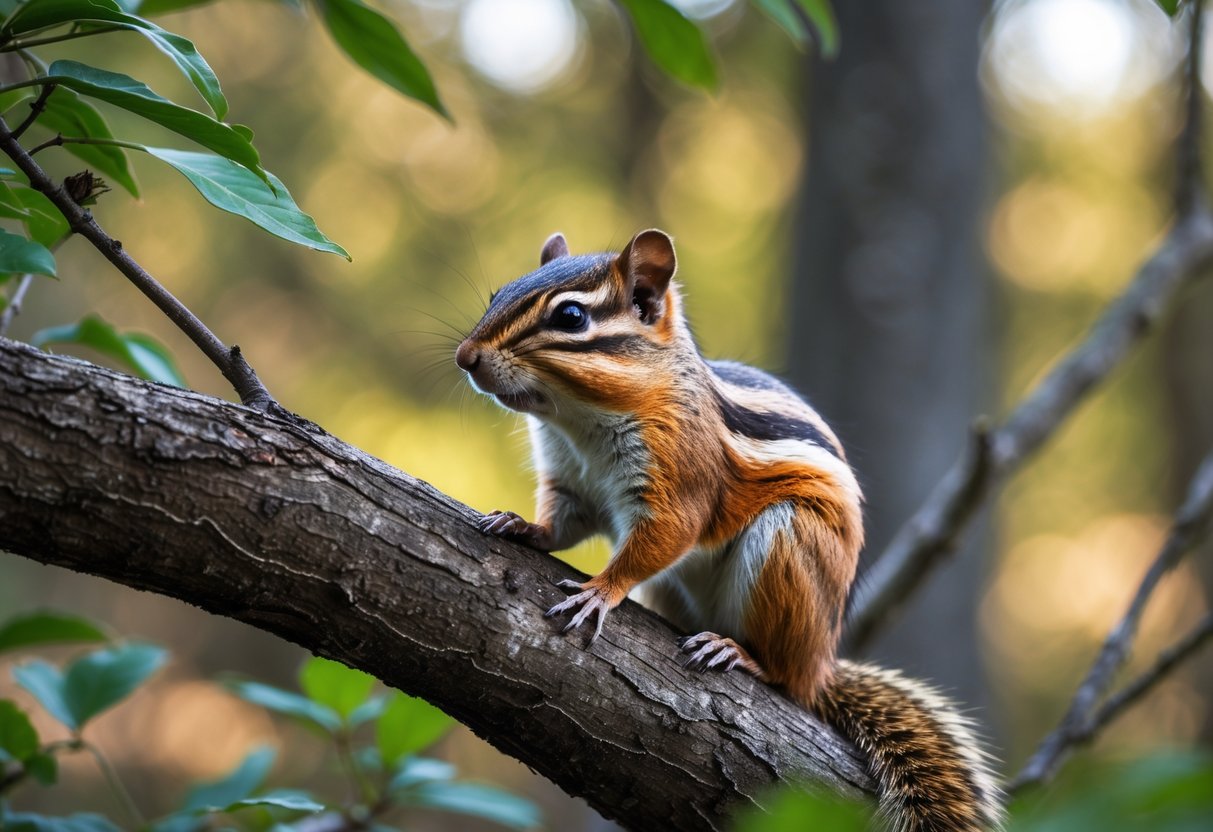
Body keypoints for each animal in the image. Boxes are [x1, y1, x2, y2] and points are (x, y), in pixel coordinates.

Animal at [455, 229, 1003, 832]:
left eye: (571, 316)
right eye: (497, 294)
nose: (464, 357)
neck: (577, 422)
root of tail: (822, 663)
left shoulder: (680, 476)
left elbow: (665, 537)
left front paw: (600, 591)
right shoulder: (570, 481)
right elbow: (559, 526)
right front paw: (519, 524)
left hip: (787, 542)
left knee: (785, 677)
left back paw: (740, 654)